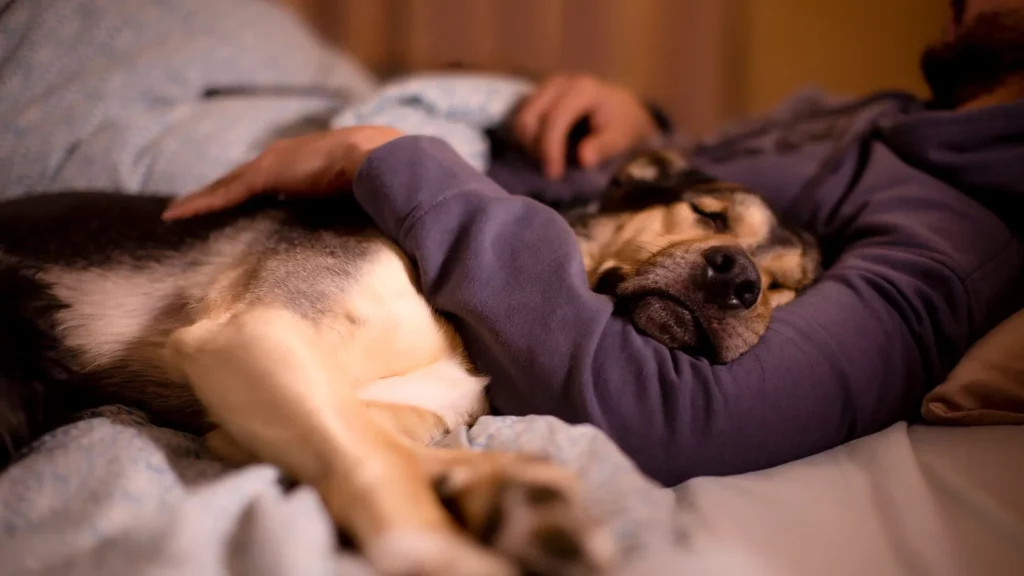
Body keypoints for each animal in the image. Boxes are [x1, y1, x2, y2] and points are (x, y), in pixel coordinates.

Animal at [0, 148, 815, 573]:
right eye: (708, 213)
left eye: (786, 288)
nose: (741, 281)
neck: (462, 327)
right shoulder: (252, 331)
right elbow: (375, 457)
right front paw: (442, 548)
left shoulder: (251, 403)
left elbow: (382, 436)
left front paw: (508, 489)